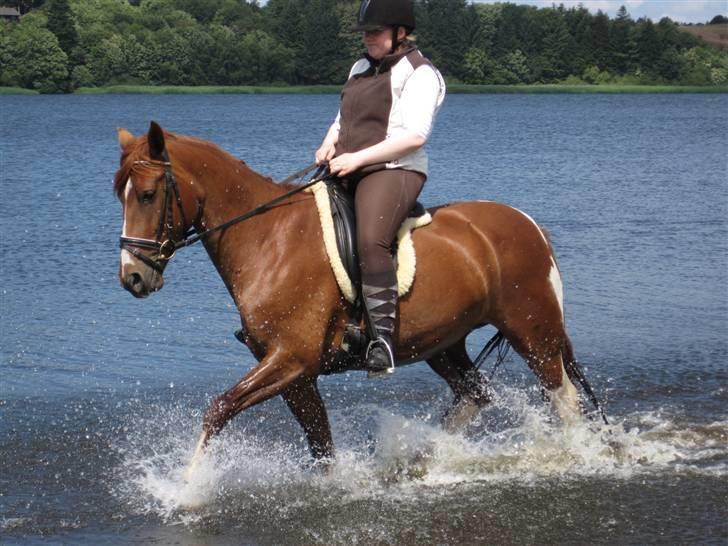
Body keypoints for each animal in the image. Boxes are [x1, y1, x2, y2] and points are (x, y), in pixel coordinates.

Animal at [115, 121, 604, 474]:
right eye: (120, 195)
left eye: (148, 195)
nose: (133, 277)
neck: (268, 238)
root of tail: (530, 225)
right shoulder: (295, 373)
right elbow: (320, 443)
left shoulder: (291, 358)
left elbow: (219, 410)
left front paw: (186, 485)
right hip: (444, 343)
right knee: (476, 395)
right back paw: (422, 460)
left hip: (532, 333)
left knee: (564, 400)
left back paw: (576, 456)